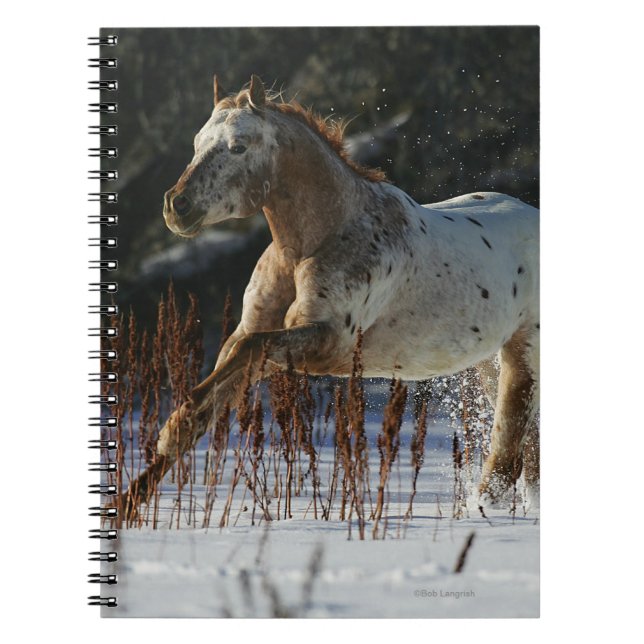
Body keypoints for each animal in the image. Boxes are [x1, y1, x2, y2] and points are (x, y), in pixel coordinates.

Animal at [127, 74, 539, 512]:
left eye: (238, 146)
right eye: (197, 143)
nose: (177, 207)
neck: (316, 241)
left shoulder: (326, 343)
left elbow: (248, 351)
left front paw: (172, 427)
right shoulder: (255, 333)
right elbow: (224, 380)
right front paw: (129, 501)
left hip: (522, 356)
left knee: (507, 455)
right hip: (488, 363)